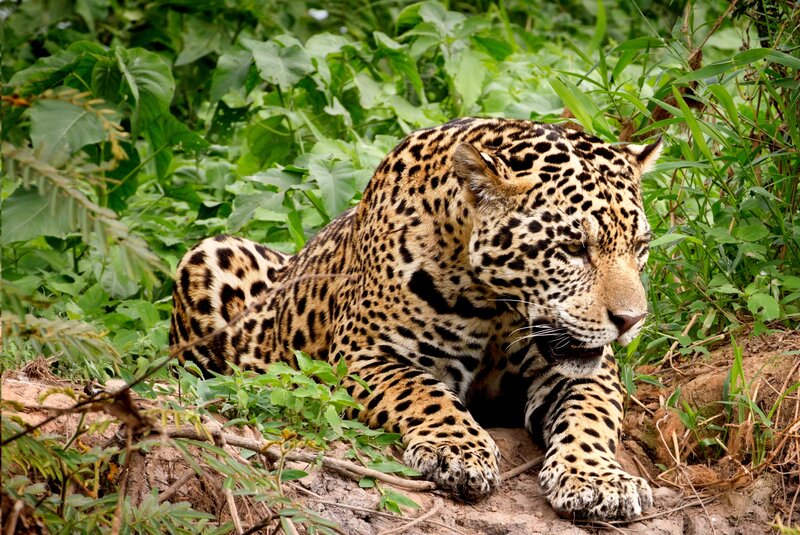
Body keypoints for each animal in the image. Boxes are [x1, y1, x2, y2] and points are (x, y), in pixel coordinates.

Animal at [170, 117, 662, 520]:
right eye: (573, 248)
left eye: (639, 246)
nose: (632, 319)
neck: (495, 305)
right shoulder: (364, 355)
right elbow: (424, 392)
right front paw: (457, 451)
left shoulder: (586, 372)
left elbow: (590, 417)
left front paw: (598, 481)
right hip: (211, 254)